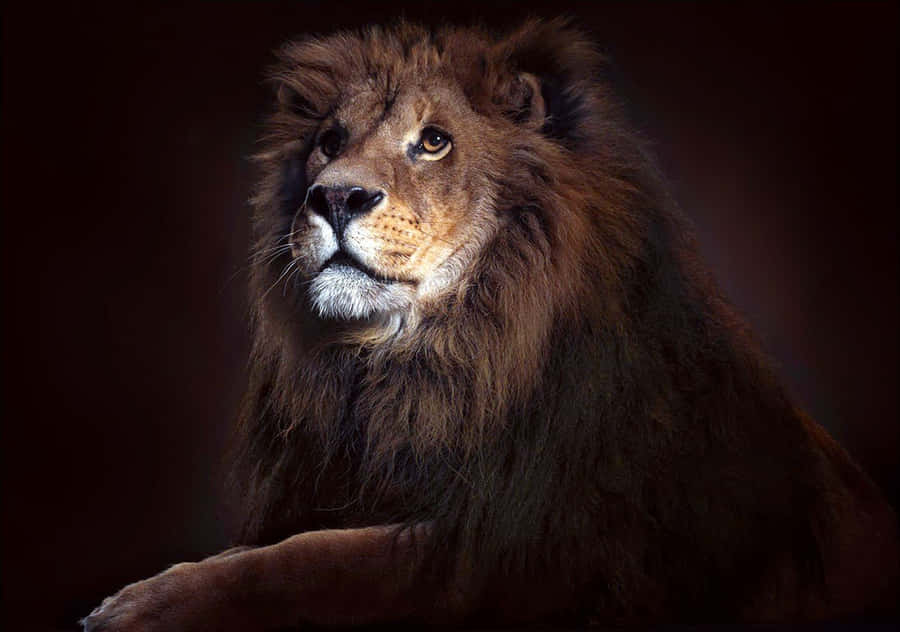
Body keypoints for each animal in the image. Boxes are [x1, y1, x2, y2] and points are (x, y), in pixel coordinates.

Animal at [83, 19, 898, 630]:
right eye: (329, 141)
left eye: (433, 141)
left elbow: (310, 560)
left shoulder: (513, 550)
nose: (334, 196)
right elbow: (275, 549)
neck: (433, 362)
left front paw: (138, 609)